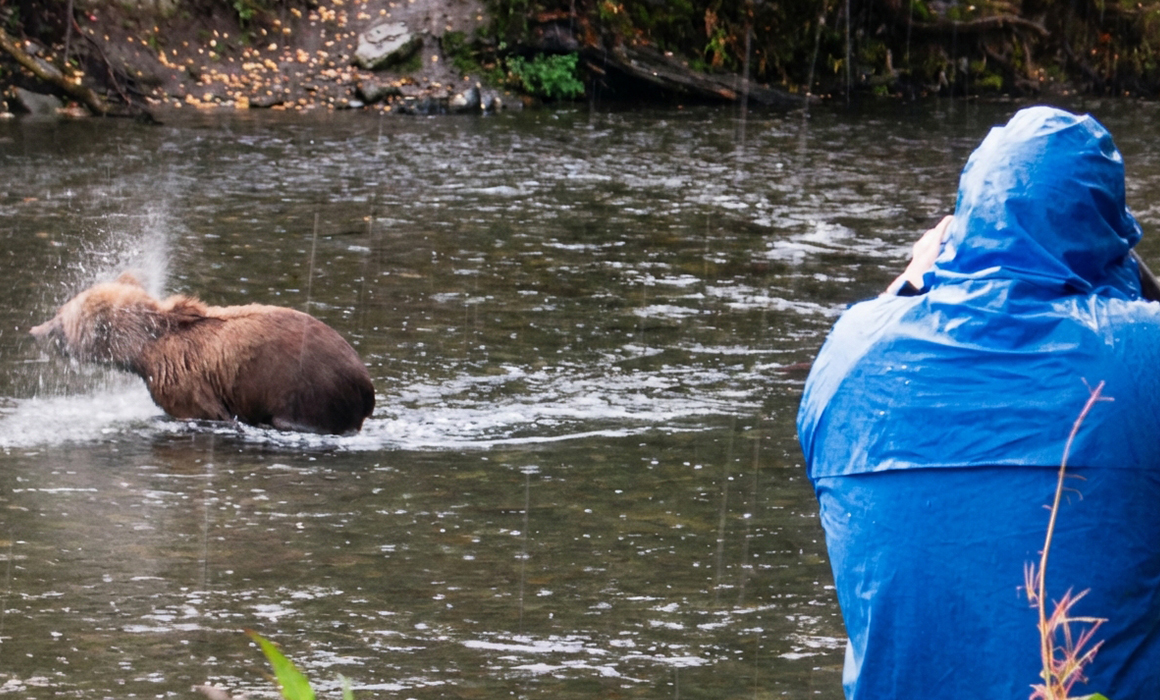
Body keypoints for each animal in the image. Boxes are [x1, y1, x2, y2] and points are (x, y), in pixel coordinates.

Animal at [30, 273, 375, 435]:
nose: (36, 330)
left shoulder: (184, 385)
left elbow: (203, 411)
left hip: (308, 392)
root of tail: (366, 384)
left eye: (61, 320)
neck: (145, 349)